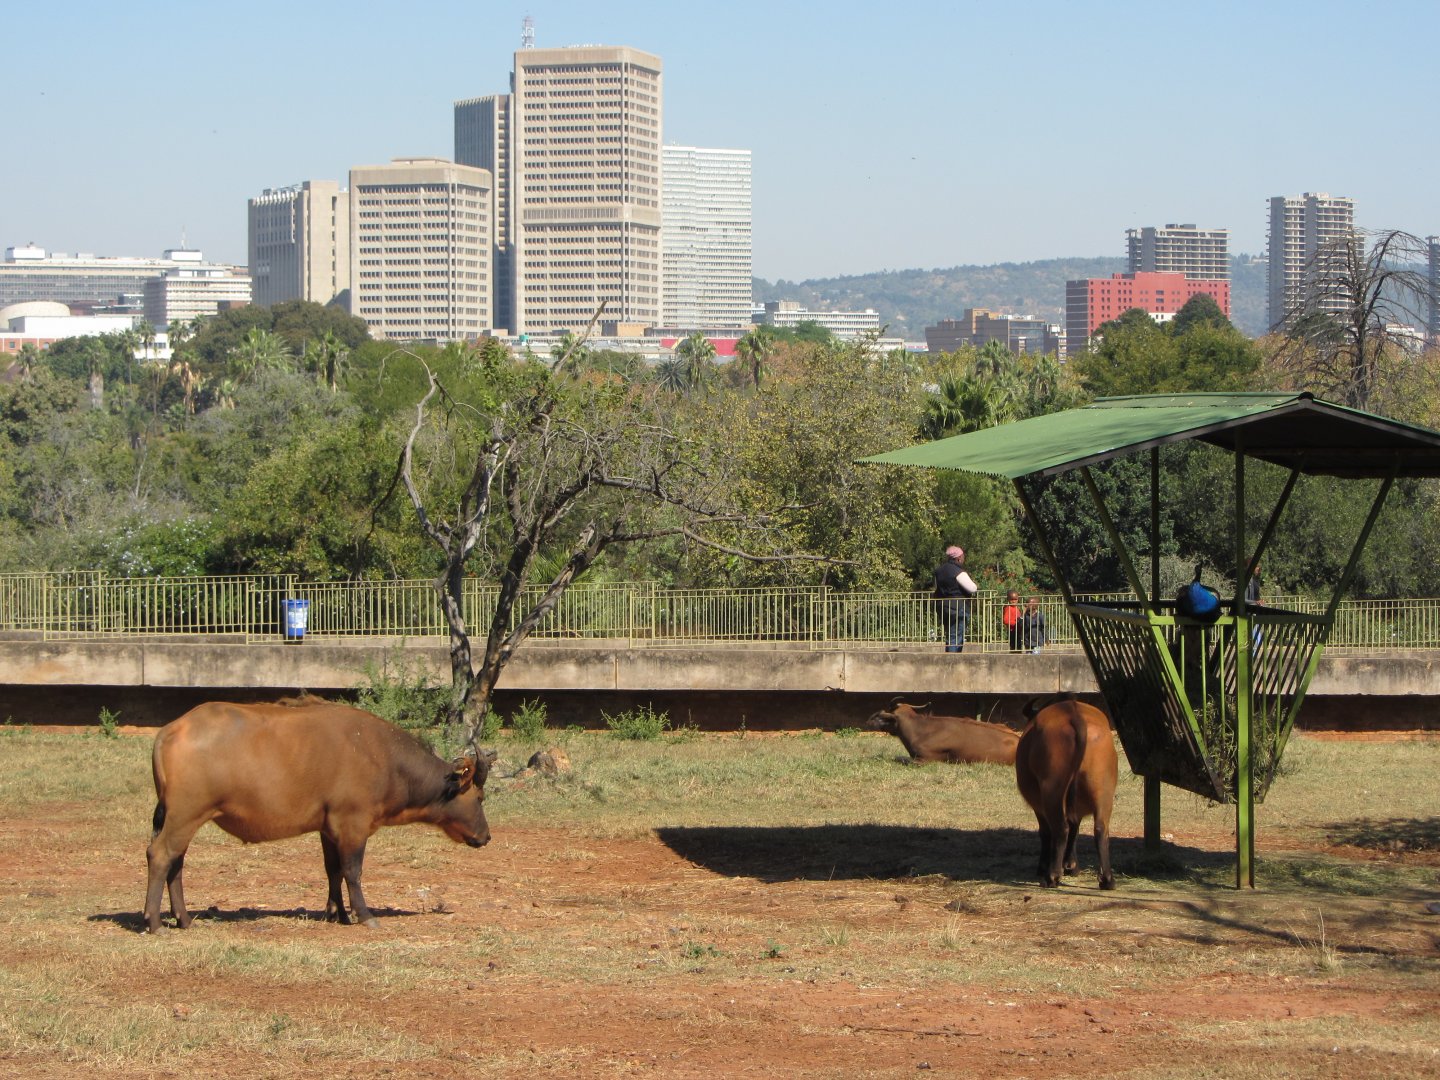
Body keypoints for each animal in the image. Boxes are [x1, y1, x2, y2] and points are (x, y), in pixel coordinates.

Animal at [144, 699, 494, 931]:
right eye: (480, 797)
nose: (486, 836)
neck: (383, 758)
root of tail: (171, 730)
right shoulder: (353, 824)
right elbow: (353, 871)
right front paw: (364, 915)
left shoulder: (329, 828)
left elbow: (333, 871)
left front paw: (337, 912)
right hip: (185, 814)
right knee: (160, 855)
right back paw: (154, 921)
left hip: (179, 817)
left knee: (176, 862)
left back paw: (184, 919)